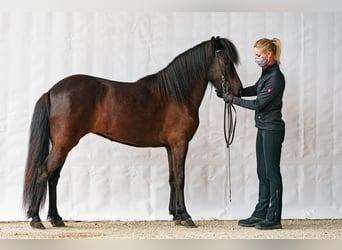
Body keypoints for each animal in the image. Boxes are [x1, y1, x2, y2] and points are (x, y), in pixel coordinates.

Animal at [22, 35, 242, 229]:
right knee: (43, 172)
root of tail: (51, 91)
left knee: (53, 178)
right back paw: (36, 219)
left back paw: (56, 218)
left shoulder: (170, 147)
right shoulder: (180, 144)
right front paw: (186, 216)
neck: (176, 95)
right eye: (227, 61)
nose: (238, 90)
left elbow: (172, 178)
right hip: (63, 145)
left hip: (62, 146)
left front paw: (175, 215)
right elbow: (181, 178)